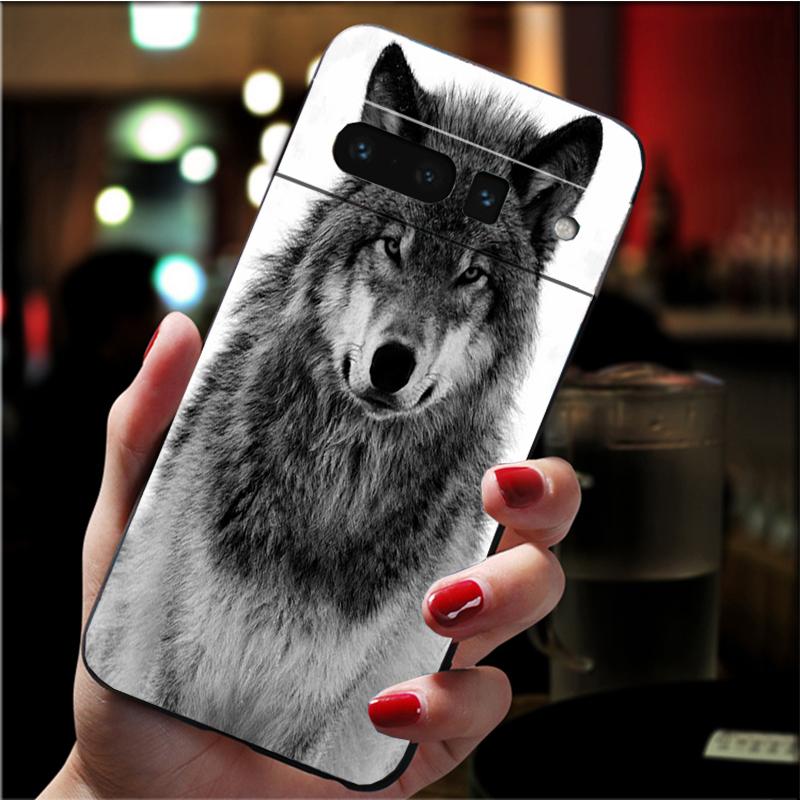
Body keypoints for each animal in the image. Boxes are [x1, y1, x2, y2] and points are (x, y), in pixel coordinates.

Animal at [85, 43, 602, 785]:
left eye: (472, 274)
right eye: (392, 243)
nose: (391, 366)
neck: (338, 487)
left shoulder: (324, 705)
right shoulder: (180, 654)